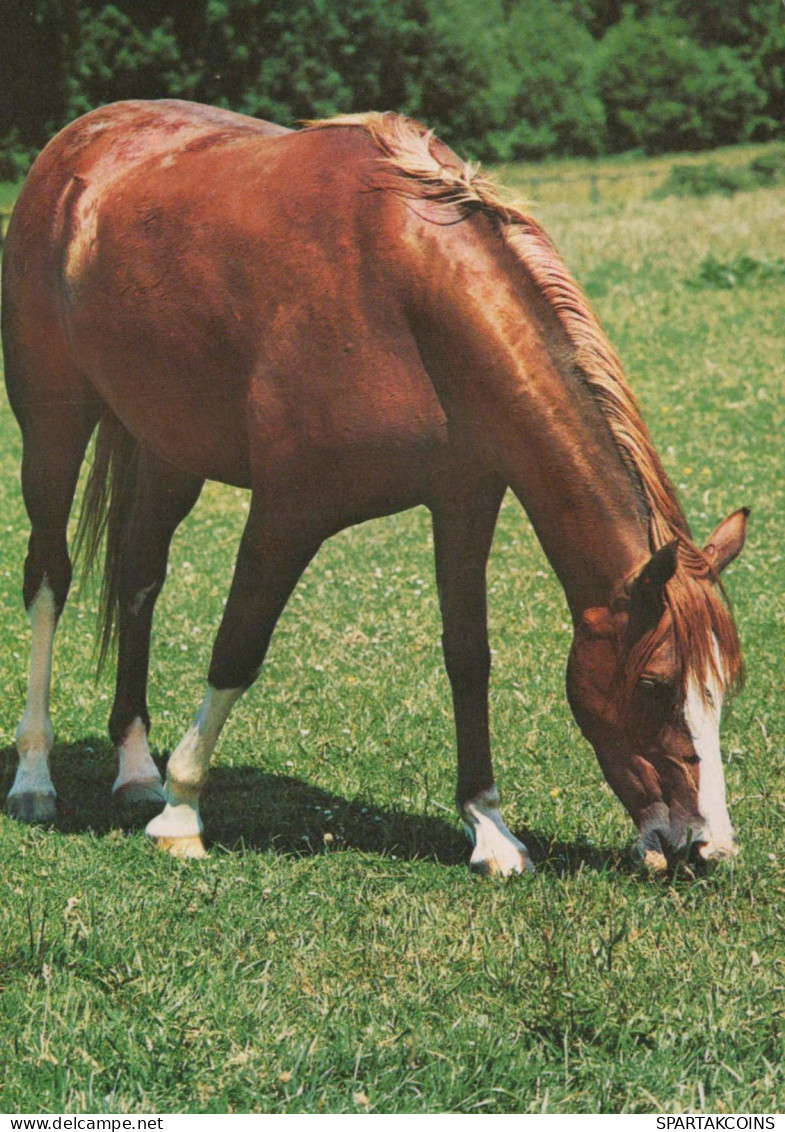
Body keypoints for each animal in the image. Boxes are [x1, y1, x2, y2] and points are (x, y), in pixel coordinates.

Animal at [1, 101, 747, 869]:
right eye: (655, 683)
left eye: (726, 684)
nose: (706, 846)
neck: (406, 294)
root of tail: (75, 146)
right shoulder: (287, 513)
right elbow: (237, 648)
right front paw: (182, 812)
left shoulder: (464, 503)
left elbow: (468, 657)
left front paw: (489, 826)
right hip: (54, 432)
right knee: (48, 580)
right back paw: (36, 779)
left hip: (167, 451)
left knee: (139, 581)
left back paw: (135, 769)